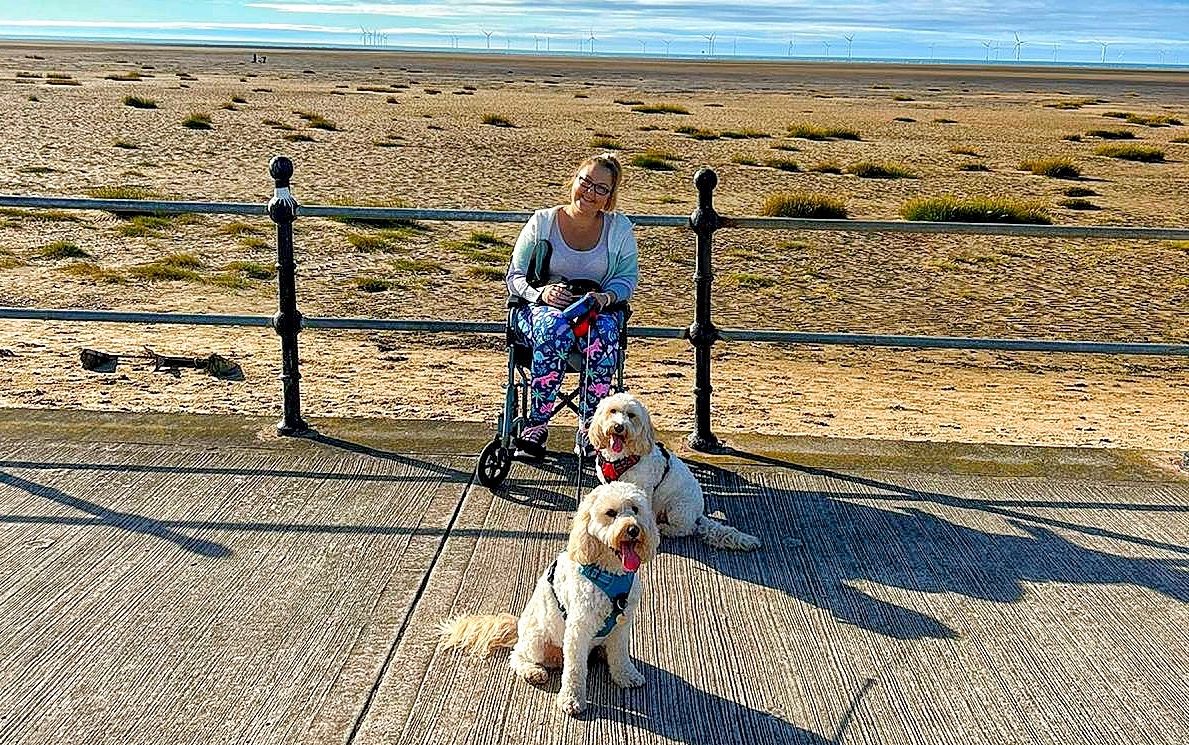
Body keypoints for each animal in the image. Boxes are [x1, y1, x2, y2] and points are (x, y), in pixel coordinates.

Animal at [439, 480, 661, 717]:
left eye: (635, 510)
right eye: (611, 513)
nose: (633, 529)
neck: (609, 572)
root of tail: (519, 624)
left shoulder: (622, 624)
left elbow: (620, 653)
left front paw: (626, 675)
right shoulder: (578, 629)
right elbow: (574, 670)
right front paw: (571, 699)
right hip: (536, 641)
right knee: (517, 655)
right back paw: (532, 671)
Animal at [584, 394, 760, 551]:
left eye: (631, 415)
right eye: (612, 411)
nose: (619, 427)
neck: (620, 457)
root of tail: (697, 515)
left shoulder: (643, 490)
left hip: (677, 507)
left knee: (685, 529)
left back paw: (666, 529)